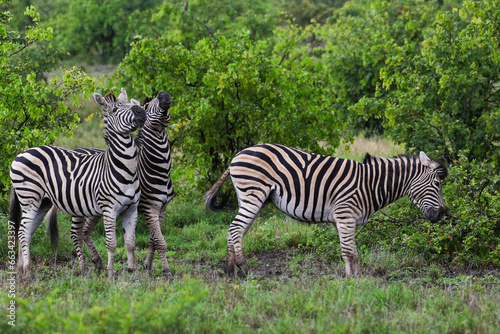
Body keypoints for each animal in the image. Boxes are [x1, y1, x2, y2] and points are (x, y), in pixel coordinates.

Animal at [9, 88, 146, 280]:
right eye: (114, 110)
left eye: (131, 104)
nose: (141, 111)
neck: (126, 169)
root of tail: (22, 153)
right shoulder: (109, 209)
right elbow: (111, 244)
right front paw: (111, 276)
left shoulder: (132, 209)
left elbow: (131, 243)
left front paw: (133, 273)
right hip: (29, 198)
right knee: (22, 231)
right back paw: (28, 271)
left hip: (43, 202)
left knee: (27, 231)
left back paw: (22, 268)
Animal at [47, 91, 175, 276]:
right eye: (147, 105)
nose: (163, 95)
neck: (159, 169)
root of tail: (76, 149)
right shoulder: (149, 207)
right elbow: (160, 241)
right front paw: (166, 270)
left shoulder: (162, 208)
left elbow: (153, 240)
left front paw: (147, 265)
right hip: (79, 207)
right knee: (76, 233)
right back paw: (85, 267)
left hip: (93, 209)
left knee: (85, 232)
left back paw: (97, 262)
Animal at [205, 144, 448, 276]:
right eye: (437, 184)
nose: (441, 214)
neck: (371, 185)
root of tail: (237, 155)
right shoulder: (345, 215)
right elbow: (351, 252)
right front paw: (353, 282)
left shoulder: (344, 220)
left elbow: (350, 252)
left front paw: (356, 279)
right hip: (253, 194)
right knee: (236, 229)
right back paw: (244, 270)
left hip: (251, 197)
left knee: (236, 231)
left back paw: (230, 271)